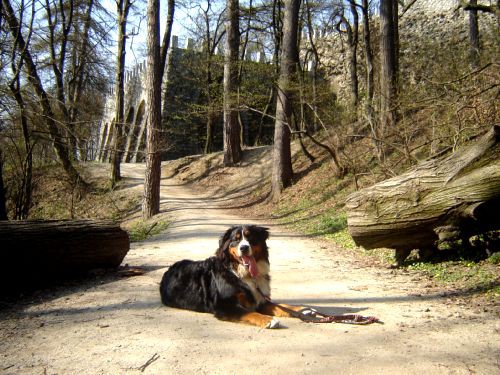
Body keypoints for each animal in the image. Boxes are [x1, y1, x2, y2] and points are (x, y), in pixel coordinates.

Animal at [160, 226, 312, 328]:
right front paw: (268, 319)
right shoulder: (225, 305)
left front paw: (303, 309)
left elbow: (281, 306)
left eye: (250, 237)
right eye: (236, 239)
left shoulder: (259, 299)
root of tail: (170, 268)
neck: (243, 274)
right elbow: (249, 313)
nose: (244, 248)